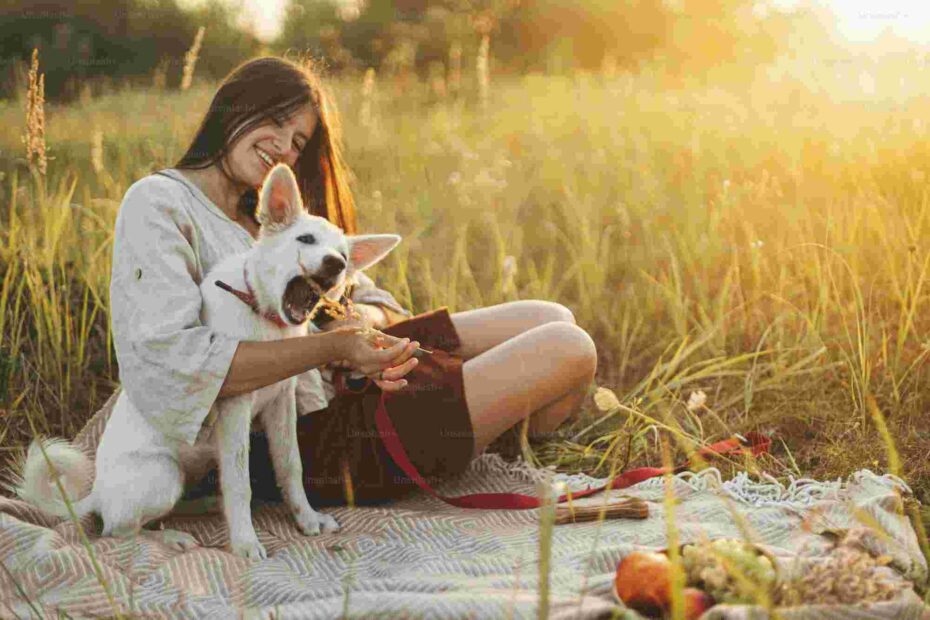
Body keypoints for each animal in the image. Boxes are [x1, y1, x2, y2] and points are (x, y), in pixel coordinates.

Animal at [10, 162, 400, 560]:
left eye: (345, 256)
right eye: (305, 239)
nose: (336, 264)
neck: (263, 316)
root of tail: (96, 494)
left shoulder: (280, 404)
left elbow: (291, 466)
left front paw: (306, 519)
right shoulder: (235, 409)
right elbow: (240, 483)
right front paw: (245, 542)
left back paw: (207, 506)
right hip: (164, 475)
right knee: (117, 531)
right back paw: (171, 537)